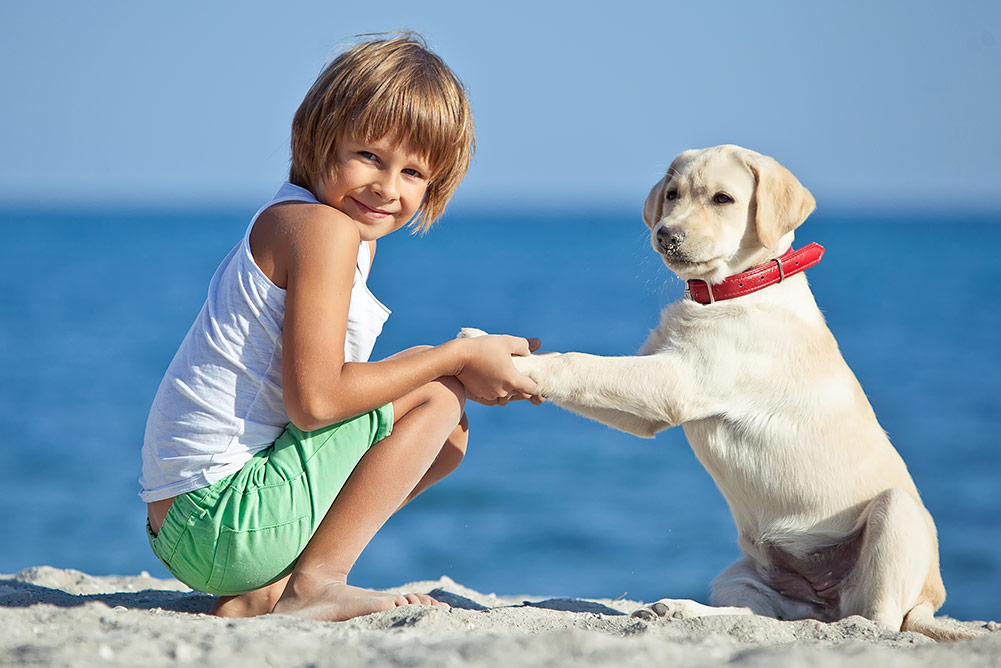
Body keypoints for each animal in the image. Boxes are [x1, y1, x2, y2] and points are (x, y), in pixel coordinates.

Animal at [462, 146, 976, 640]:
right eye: (672, 194)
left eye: (723, 199)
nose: (665, 235)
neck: (734, 289)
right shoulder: (651, 387)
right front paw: (495, 346)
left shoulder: (677, 380)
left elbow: (581, 363)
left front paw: (514, 363)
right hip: (741, 575)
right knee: (771, 617)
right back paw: (681, 609)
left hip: (894, 515)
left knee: (868, 621)